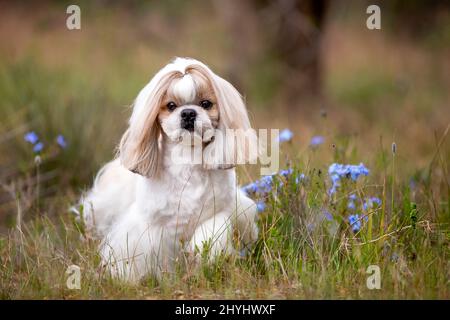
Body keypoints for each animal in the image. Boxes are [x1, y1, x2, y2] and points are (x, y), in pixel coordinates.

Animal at [79, 57, 258, 282]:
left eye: (206, 104)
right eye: (171, 106)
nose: (188, 113)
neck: (188, 161)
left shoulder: (219, 214)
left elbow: (208, 234)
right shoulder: (151, 227)